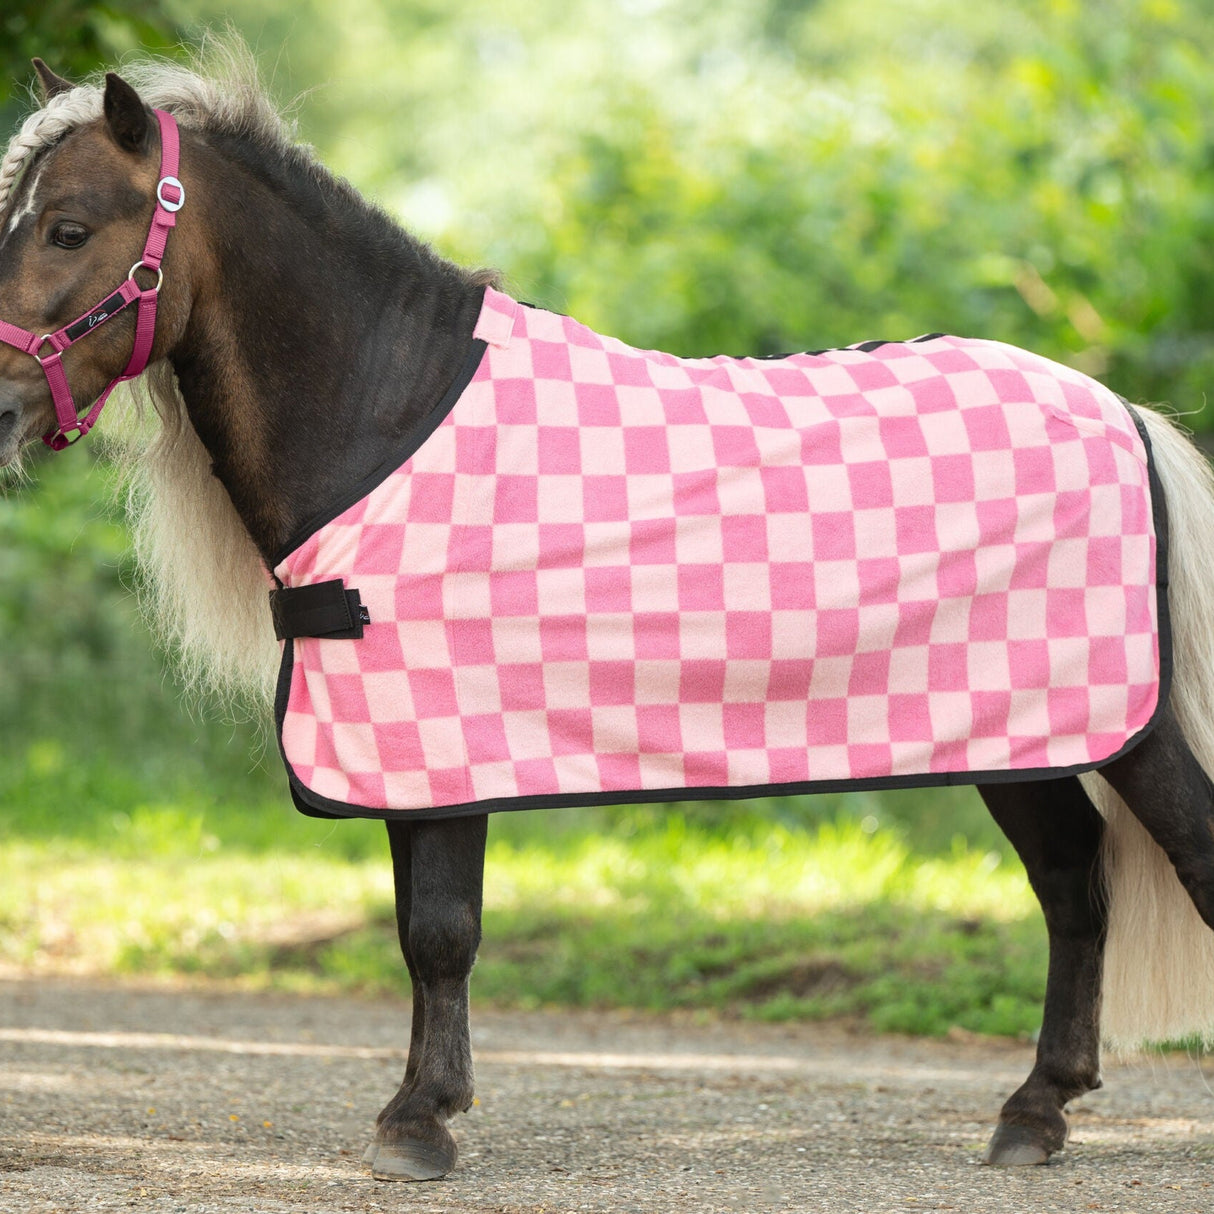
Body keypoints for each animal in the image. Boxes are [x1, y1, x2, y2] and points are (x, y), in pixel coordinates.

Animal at [2, 45, 1214, 1183]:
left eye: (68, 228)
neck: (392, 408)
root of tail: (1116, 408)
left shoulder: (449, 745)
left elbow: (441, 932)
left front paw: (418, 1124)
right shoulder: (405, 755)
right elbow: (414, 931)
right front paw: (424, 1104)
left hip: (1118, 721)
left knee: (1176, 854)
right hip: (1017, 731)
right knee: (1072, 882)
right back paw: (1033, 1112)